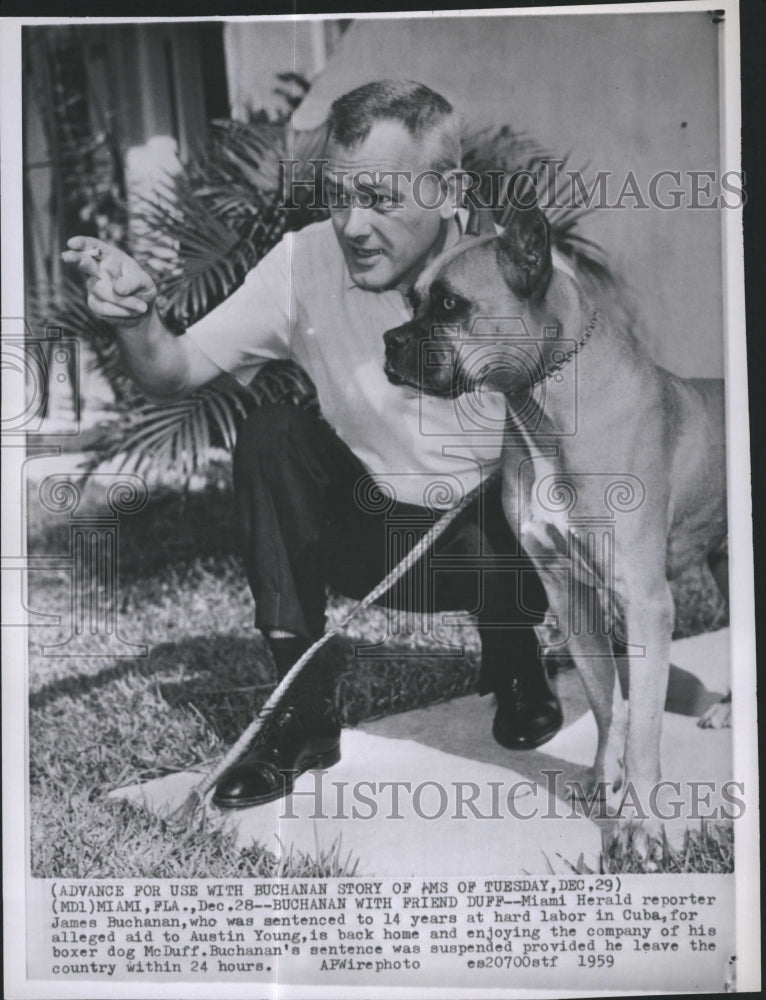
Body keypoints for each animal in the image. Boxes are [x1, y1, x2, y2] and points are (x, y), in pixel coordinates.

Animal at [388, 205, 728, 828]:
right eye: (412, 300)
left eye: (449, 303)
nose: (389, 341)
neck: (539, 406)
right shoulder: (571, 595)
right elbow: (605, 702)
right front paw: (603, 780)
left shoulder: (646, 604)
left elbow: (643, 727)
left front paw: (642, 825)